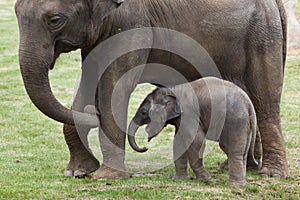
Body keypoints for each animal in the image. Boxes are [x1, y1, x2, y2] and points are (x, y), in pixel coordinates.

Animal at [127, 77, 256, 188]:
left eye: (144, 112)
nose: (145, 147)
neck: (173, 89)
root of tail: (249, 104)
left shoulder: (189, 113)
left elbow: (196, 140)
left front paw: (206, 180)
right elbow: (179, 142)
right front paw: (180, 180)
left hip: (234, 120)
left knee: (231, 149)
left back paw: (234, 185)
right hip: (244, 124)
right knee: (243, 151)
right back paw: (241, 184)